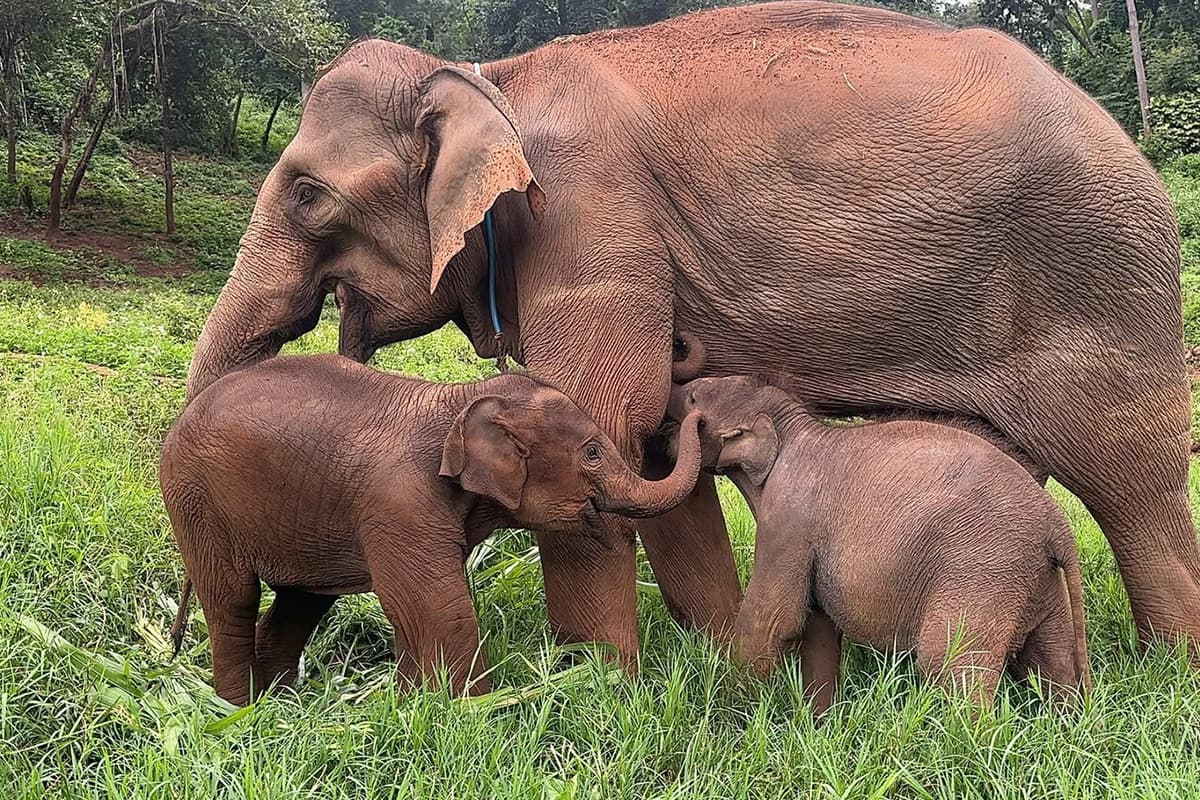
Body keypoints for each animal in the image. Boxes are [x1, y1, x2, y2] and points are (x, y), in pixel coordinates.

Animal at [160, 354, 702, 705]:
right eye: (592, 451)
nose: (691, 410)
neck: (462, 399)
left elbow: (417, 607)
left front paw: (409, 705)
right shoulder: (400, 501)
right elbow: (437, 606)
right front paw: (478, 712)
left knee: (302, 601)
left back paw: (286, 704)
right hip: (196, 499)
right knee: (232, 598)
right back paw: (239, 711)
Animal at [185, 0, 1195, 664]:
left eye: (308, 196)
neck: (490, 85)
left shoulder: (588, 217)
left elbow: (608, 416)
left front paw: (594, 683)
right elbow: (653, 452)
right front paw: (707, 659)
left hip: (1101, 284)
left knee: (1132, 483)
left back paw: (1166, 671)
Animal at [670, 375, 1091, 713]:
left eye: (692, 398)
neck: (795, 425)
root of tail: (1056, 524)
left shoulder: (788, 520)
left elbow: (775, 619)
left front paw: (733, 712)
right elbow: (819, 624)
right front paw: (819, 720)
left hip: (984, 575)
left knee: (950, 666)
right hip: (1039, 583)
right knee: (1052, 664)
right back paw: (1064, 720)